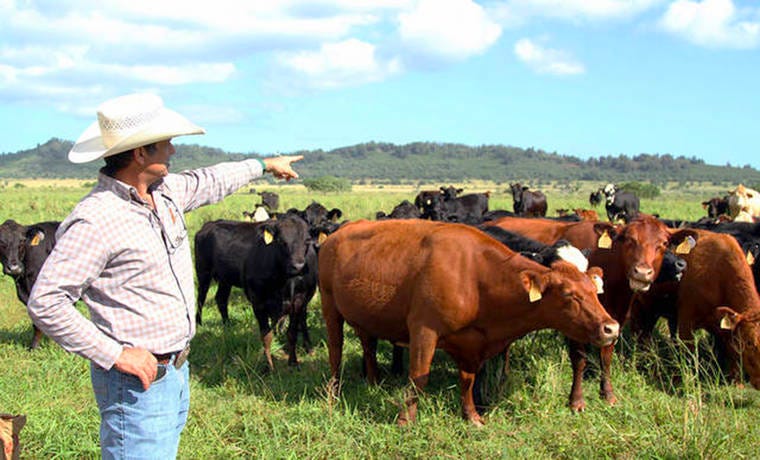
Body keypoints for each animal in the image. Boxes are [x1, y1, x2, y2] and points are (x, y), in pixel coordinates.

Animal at [197, 214, 316, 368]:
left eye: (307, 240)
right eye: (281, 241)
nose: (298, 266)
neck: (282, 282)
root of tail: (209, 224)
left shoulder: (298, 301)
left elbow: (292, 333)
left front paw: (293, 362)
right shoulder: (258, 301)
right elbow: (266, 336)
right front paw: (269, 367)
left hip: (225, 279)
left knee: (221, 299)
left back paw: (227, 325)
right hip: (203, 272)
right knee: (200, 298)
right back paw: (199, 324)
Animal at [318, 219, 620, 424]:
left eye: (594, 288)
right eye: (569, 294)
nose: (612, 327)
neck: (477, 277)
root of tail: (337, 233)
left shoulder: (472, 342)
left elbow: (468, 380)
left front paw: (473, 416)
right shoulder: (424, 331)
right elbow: (418, 377)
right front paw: (406, 420)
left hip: (363, 315)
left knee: (368, 346)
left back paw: (372, 381)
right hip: (330, 306)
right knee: (335, 352)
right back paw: (333, 394)